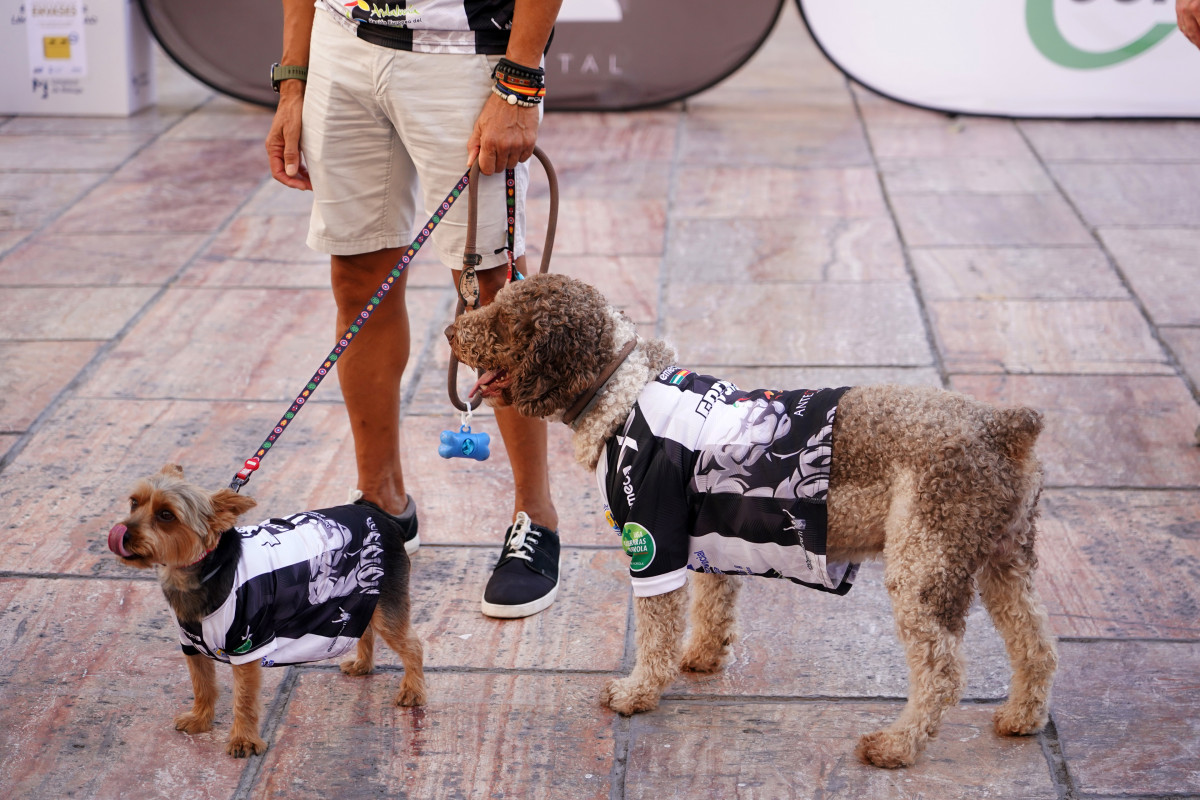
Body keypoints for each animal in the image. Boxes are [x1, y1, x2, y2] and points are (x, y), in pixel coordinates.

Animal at [448, 273, 1060, 767]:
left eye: (503, 319)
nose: (452, 331)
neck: (622, 391)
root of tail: (1004, 427)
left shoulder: (653, 540)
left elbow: (656, 632)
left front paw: (637, 693)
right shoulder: (706, 534)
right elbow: (713, 604)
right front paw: (702, 657)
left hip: (924, 567)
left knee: (941, 673)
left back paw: (896, 745)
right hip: (1004, 559)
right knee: (1036, 643)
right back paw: (1022, 717)